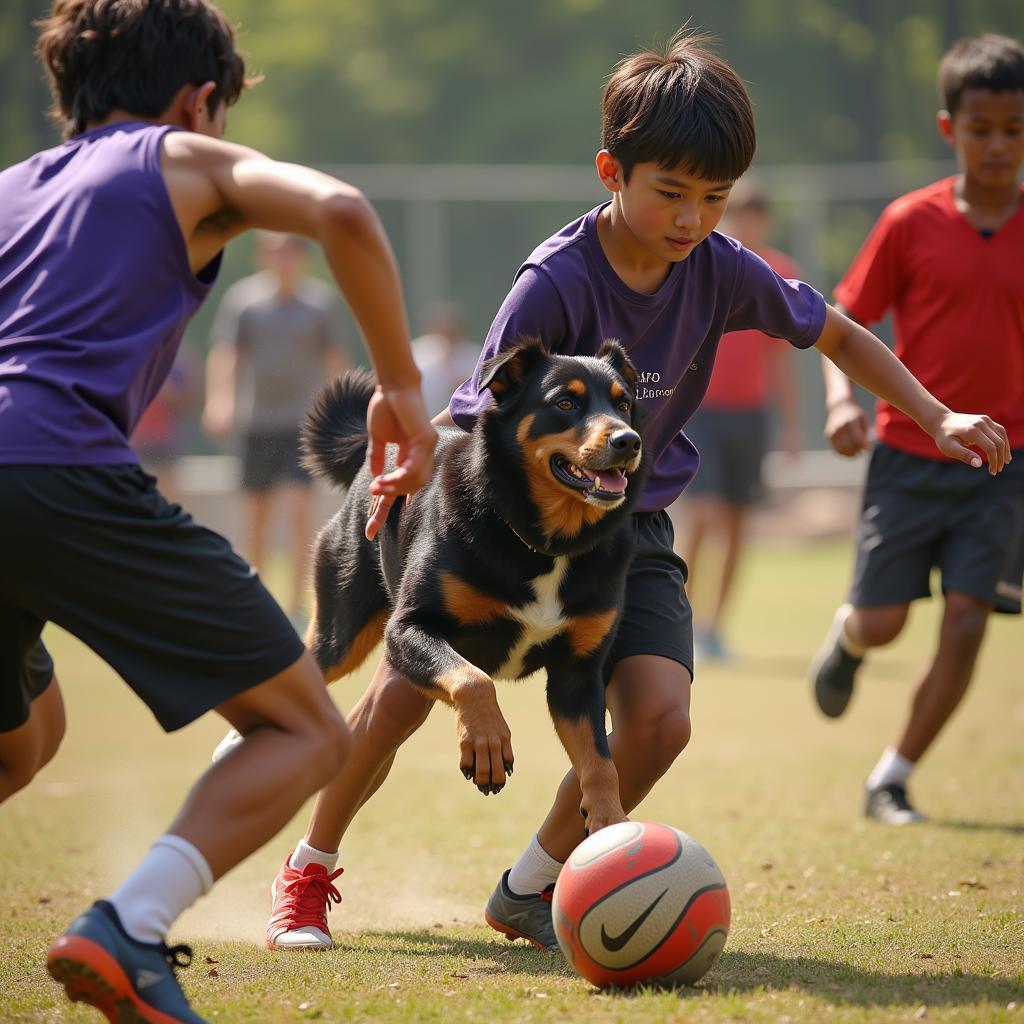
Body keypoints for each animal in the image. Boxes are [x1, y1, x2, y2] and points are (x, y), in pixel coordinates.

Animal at [301, 339, 647, 835]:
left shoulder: (578, 675)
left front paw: (610, 824)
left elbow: (600, 764)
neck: (547, 544)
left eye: (624, 404)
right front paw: (486, 744)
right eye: (565, 403)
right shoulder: (409, 628)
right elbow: (474, 680)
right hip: (343, 628)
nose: (627, 441)